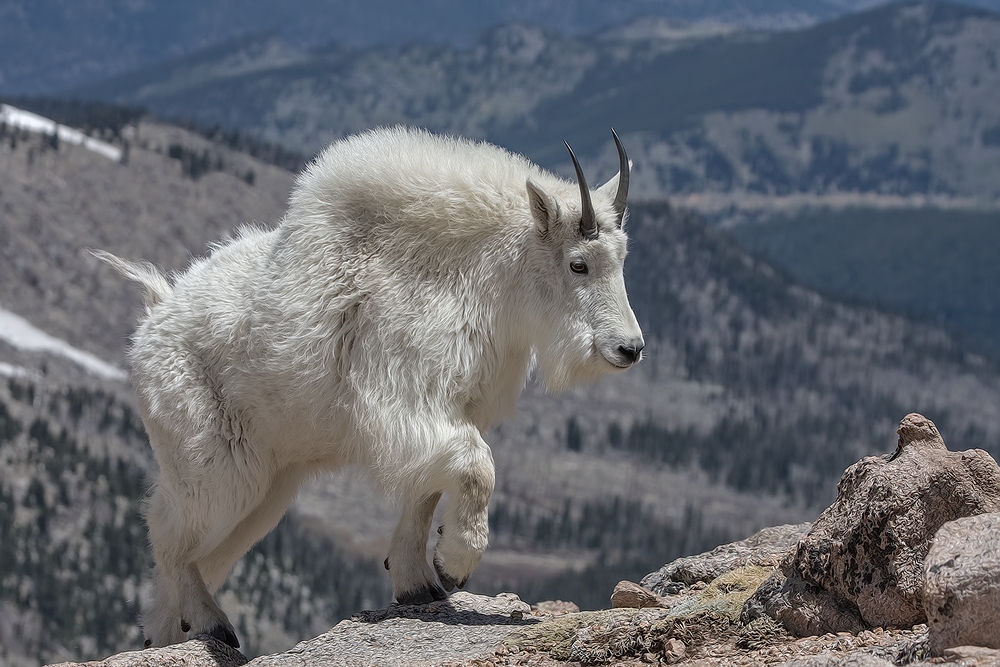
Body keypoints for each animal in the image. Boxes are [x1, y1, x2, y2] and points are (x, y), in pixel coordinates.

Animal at [97, 125, 644, 648]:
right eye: (578, 263)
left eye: (622, 260)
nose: (630, 349)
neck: (473, 278)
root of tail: (152, 318)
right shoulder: (405, 401)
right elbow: (475, 467)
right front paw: (454, 564)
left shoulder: (445, 412)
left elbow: (426, 489)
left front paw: (418, 582)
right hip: (213, 463)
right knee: (166, 534)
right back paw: (212, 625)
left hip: (268, 488)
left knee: (194, 555)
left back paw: (171, 634)